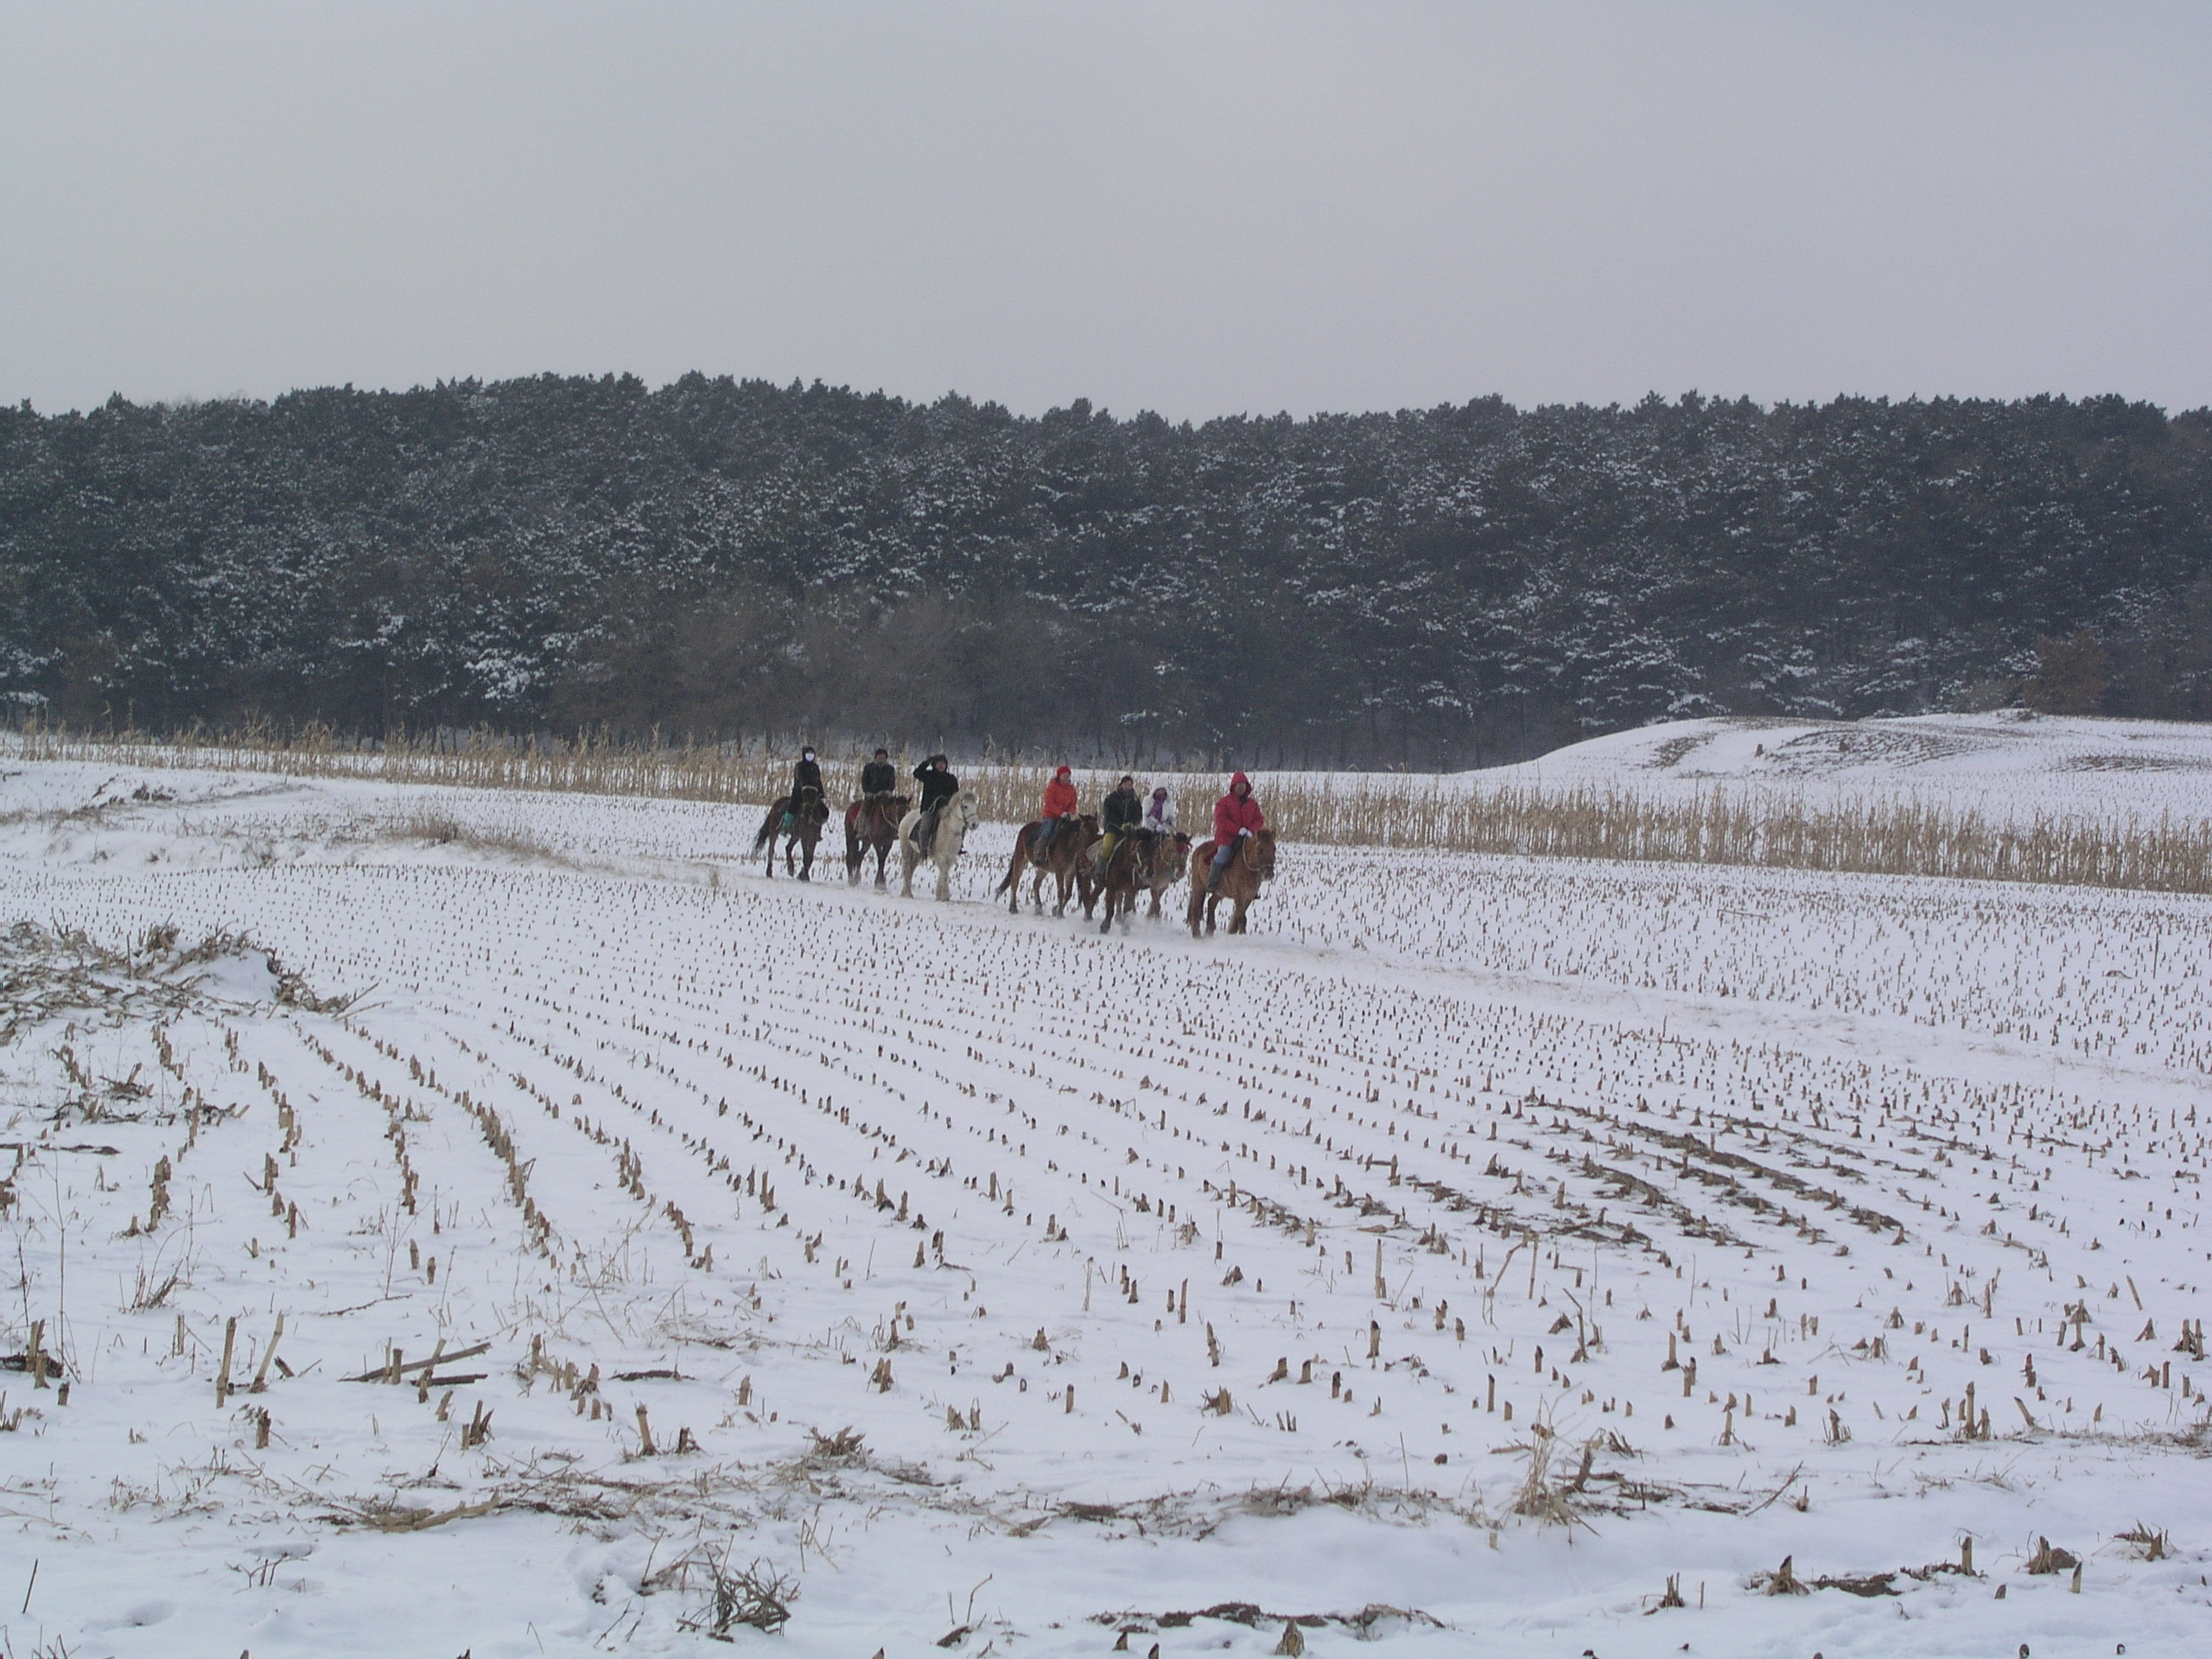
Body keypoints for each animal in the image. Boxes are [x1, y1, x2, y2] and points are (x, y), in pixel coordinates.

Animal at [898, 796, 977, 911]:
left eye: (975, 806)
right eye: (965, 806)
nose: (975, 824)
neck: (949, 830)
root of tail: (907, 817)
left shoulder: (950, 858)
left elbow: (944, 872)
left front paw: (939, 896)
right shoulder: (941, 857)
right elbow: (944, 873)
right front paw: (945, 896)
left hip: (917, 854)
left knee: (911, 869)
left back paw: (907, 892)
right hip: (906, 849)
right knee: (906, 869)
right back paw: (907, 893)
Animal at [1185, 827, 1274, 938]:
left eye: (1274, 849)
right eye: (1260, 851)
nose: (1269, 875)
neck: (1246, 867)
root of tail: (1198, 850)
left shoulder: (1249, 896)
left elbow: (1237, 918)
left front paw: (1232, 933)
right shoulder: (1238, 895)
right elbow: (1241, 918)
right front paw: (1242, 934)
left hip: (1220, 892)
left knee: (1211, 903)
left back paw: (1209, 932)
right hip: (1198, 886)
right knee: (1196, 908)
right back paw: (1197, 935)